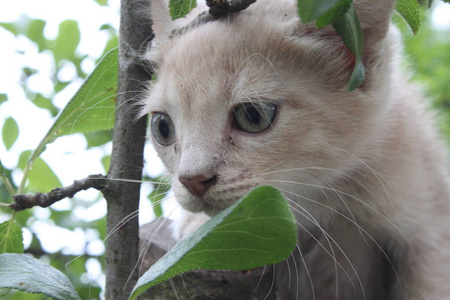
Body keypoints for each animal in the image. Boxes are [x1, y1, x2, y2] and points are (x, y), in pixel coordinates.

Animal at [140, 0, 450, 298]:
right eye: (162, 127)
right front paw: (199, 226)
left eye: (253, 116)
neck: (324, 200)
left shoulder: (433, 230)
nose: (192, 180)